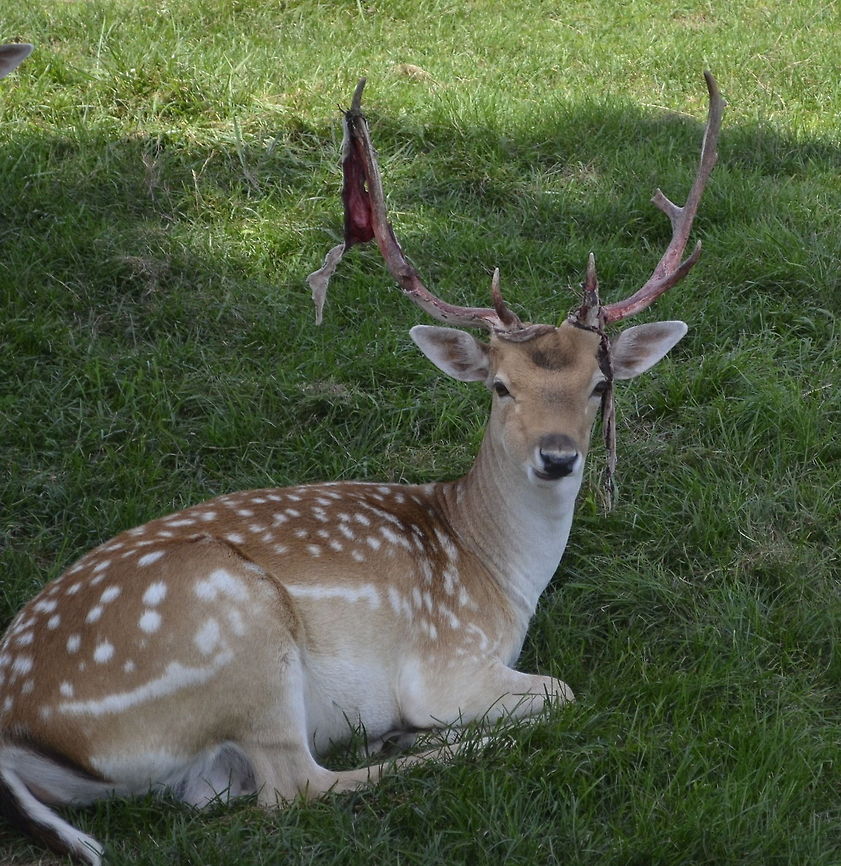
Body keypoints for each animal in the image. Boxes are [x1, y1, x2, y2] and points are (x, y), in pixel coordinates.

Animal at [0, 73, 723, 865]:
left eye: (599, 385)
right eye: (501, 387)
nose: (558, 456)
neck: (498, 573)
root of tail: (17, 729)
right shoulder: (447, 660)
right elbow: (562, 691)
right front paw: (432, 726)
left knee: (217, 794)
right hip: (241, 637)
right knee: (296, 788)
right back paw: (407, 740)